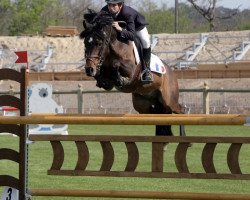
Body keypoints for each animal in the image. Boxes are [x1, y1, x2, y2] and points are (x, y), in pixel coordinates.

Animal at [79, 10, 187, 143]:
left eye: (99, 43)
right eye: (85, 43)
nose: (89, 69)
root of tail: (171, 72)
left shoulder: (131, 70)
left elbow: (116, 65)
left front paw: (120, 79)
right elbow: (101, 74)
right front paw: (104, 81)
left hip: (169, 100)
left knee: (182, 110)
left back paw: (185, 139)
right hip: (142, 104)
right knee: (155, 113)